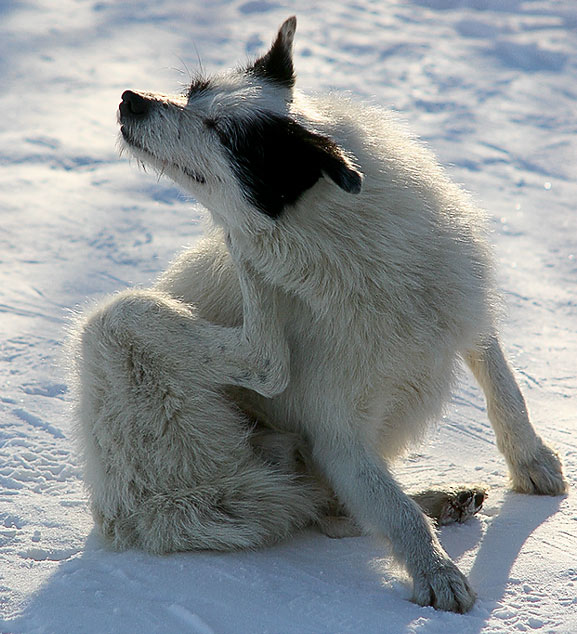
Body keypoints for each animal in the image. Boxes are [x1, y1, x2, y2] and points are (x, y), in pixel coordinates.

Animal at [68, 18, 568, 612]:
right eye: (195, 93)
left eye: (222, 132)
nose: (131, 99)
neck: (352, 248)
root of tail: (131, 518)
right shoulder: (339, 435)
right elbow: (394, 511)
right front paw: (435, 572)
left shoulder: (465, 314)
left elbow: (505, 392)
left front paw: (532, 463)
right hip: (114, 329)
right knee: (270, 376)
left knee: (335, 508)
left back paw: (445, 499)